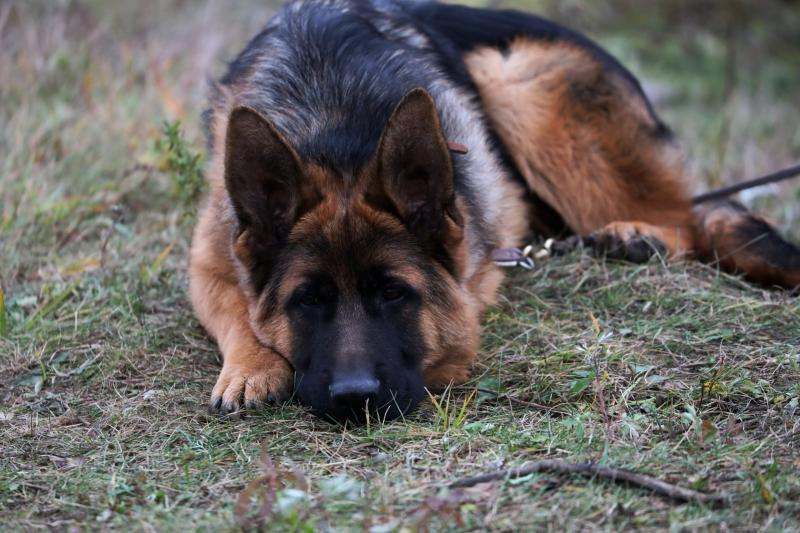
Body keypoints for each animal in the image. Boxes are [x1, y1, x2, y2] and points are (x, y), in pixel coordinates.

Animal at [189, 0, 800, 423]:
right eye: (308, 299)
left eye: (394, 294)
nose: (355, 397)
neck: (333, 128)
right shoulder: (207, 263)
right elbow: (237, 309)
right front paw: (251, 367)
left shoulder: (473, 271)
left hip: (519, 83)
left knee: (691, 215)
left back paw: (637, 233)